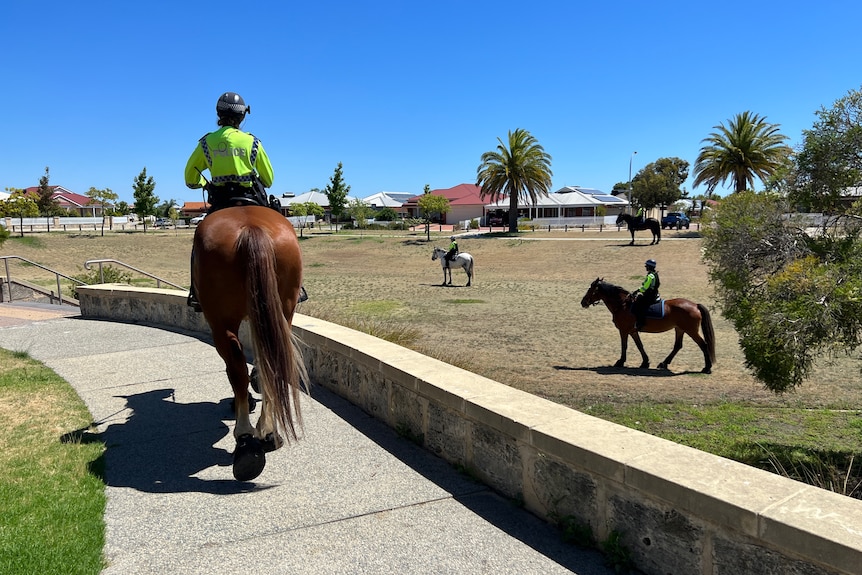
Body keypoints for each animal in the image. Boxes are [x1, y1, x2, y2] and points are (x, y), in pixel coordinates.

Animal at [194, 207, 308, 482]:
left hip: (220, 323)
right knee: (271, 366)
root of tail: (251, 228)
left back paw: (245, 439)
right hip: (283, 310)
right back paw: (268, 432)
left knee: (236, 370)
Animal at [584, 278, 720, 374]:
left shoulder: (624, 330)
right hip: (680, 329)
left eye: (590, 289)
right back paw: (664, 363)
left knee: (703, 345)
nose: (583, 302)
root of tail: (695, 305)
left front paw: (620, 361)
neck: (623, 305)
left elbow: (624, 346)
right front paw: (645, 362)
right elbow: (639, 345)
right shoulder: (633, 331)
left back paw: (707, 368)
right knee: (678, 346)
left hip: (691, 330)